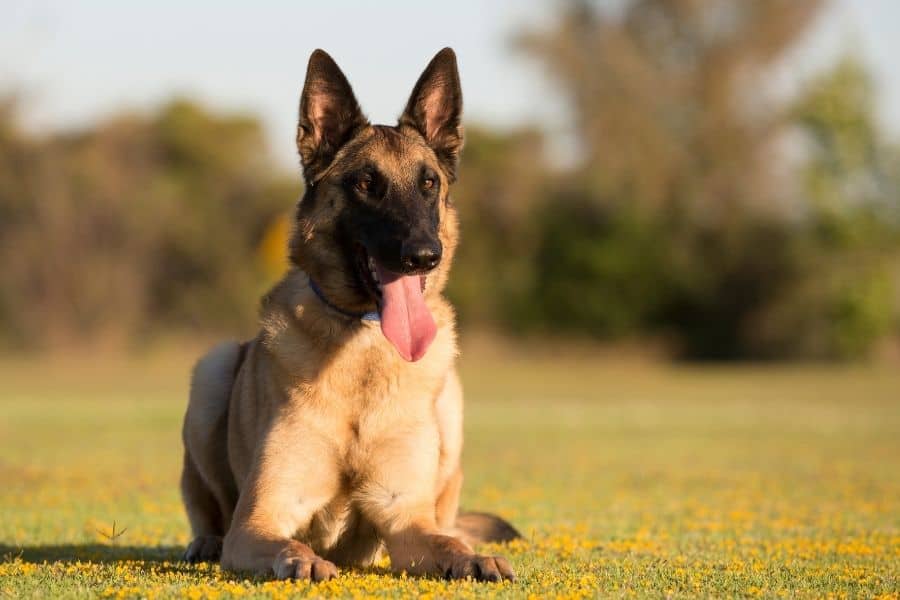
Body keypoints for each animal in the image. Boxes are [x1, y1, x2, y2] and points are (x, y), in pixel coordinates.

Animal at [179, 49, 516, 584]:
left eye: (429, 184)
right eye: (365, 184)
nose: (425, 256)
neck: (364, 351)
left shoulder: (405, 517)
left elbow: (445, 541)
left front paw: (474, 558)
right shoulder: (260, 519)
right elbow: (285, 544)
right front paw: (301, 560)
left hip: (451, 404)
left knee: (451, 521)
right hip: (211, 371)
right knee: (206, 510)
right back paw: (205, 542)